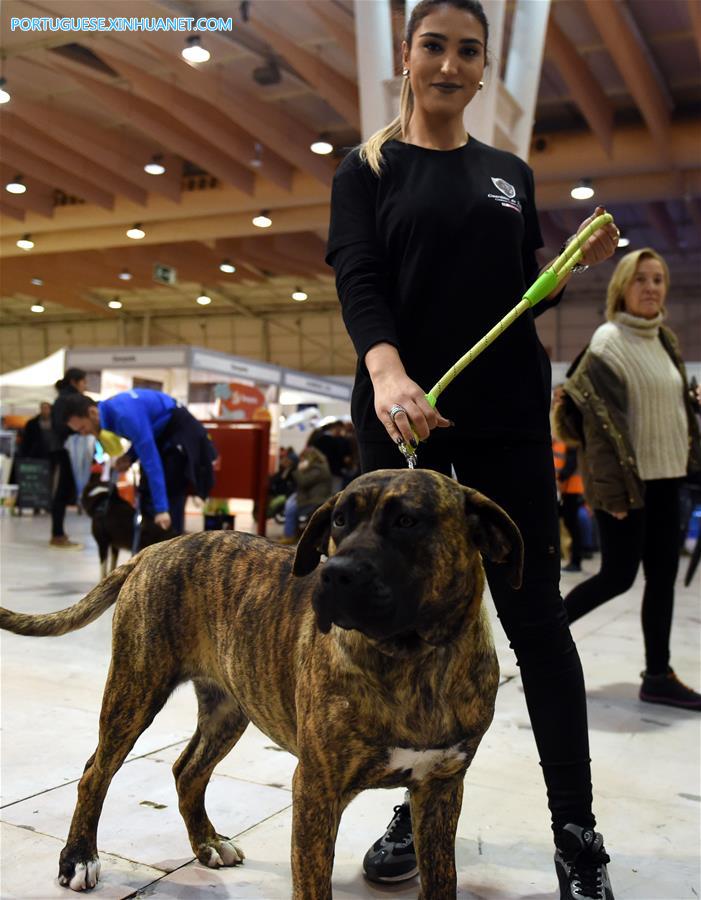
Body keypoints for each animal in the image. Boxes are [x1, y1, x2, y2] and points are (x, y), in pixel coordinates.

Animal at [0, 468, 520, 896]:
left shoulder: (441, 791)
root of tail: (154, 549)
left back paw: (207, 842)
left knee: (188, 769)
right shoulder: (316, 789)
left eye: (407, 521)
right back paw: (78, 858)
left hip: (230, 707)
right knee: (96, 772)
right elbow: (313, 886)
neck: (416, 660)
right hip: (135, 689)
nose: (334, 575)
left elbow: (442, 880)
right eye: (338, 521)